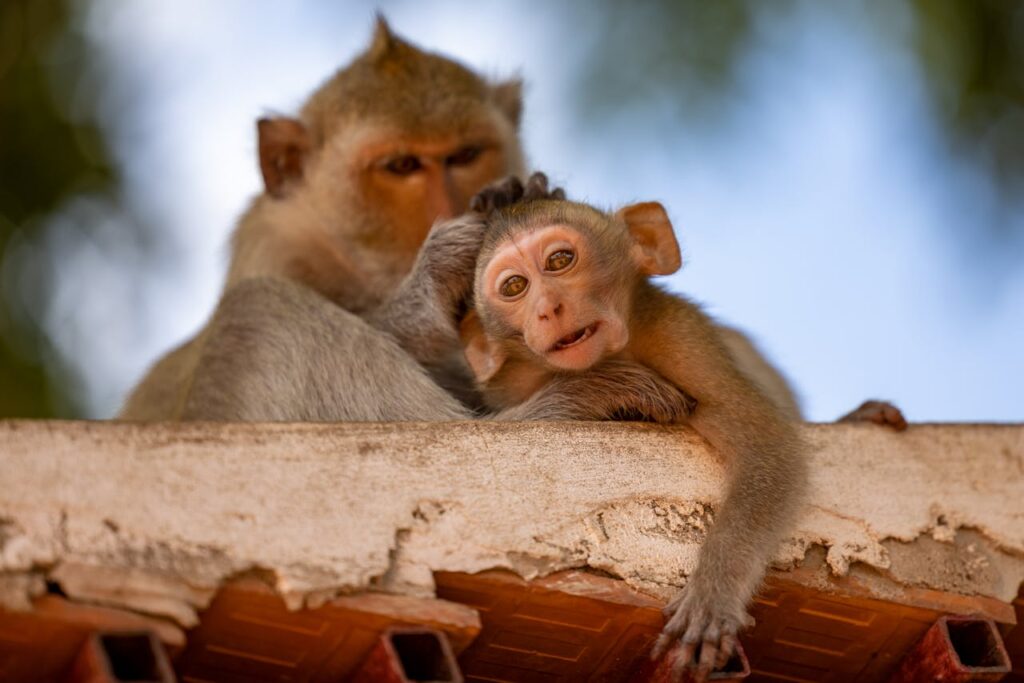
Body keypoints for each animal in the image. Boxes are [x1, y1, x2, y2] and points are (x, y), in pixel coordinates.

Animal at [119, 18, 693, 425]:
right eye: (401, 167)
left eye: (464, 155)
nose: (446, 205)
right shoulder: (272, 247)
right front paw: (438, 272)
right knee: (254, 317)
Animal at [459, 181, 808, 680]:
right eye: (514, 287)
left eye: (560, 260)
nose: (548, 309)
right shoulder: (512, 382)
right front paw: (601, 393)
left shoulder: (677, 333)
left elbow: (768, 446)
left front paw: (713, 595)